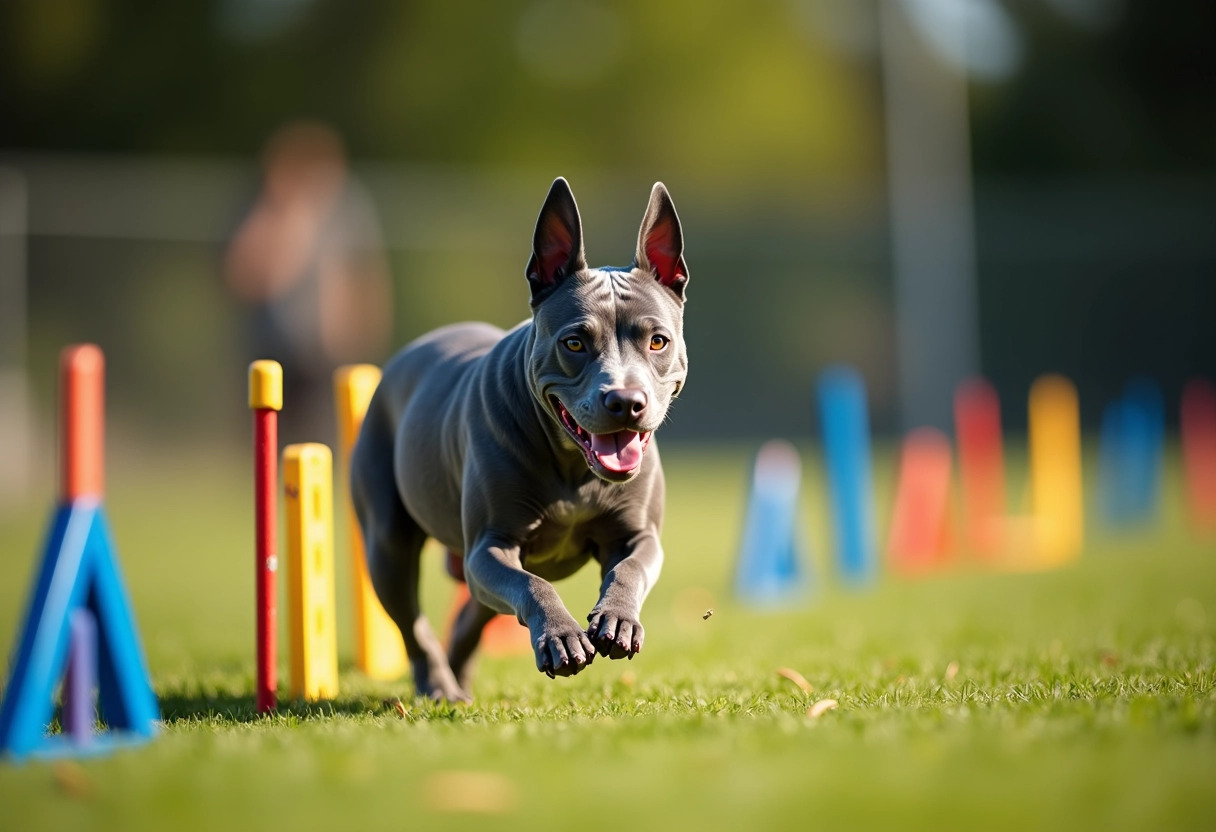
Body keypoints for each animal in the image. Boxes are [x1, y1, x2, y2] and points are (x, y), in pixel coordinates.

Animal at [352, 177, 690, 700]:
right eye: (574, 342)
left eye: (658, 341)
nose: (626, 401)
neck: (573, 467)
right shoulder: (490, 547)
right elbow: (533, 586)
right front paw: (562, 636)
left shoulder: (639, 536)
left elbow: (629, 568)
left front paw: (616, 619)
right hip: (388, 544)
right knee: (414, 627)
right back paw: (439, 684)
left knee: (471, 617)